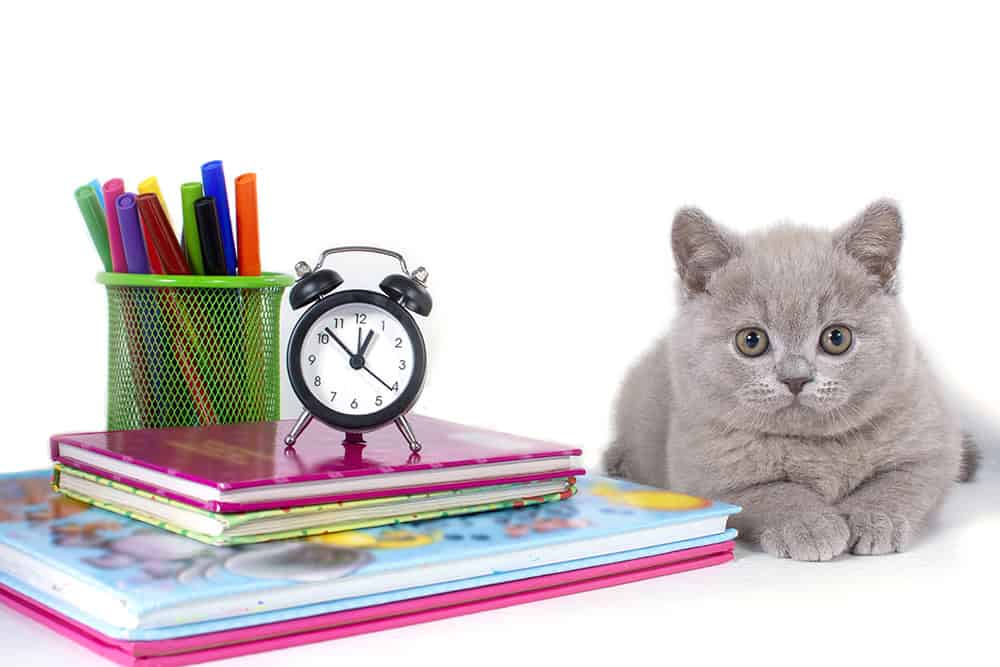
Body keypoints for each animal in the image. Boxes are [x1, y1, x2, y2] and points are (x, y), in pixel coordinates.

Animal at [604, 202, 980, 564]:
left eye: (837, 338)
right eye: (751, 340)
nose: (796, 378)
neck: (815, 445)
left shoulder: (932, 443)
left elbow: (898, 483)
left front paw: (876, 520)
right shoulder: (704, 476)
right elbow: (773, 493)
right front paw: (810, 526)